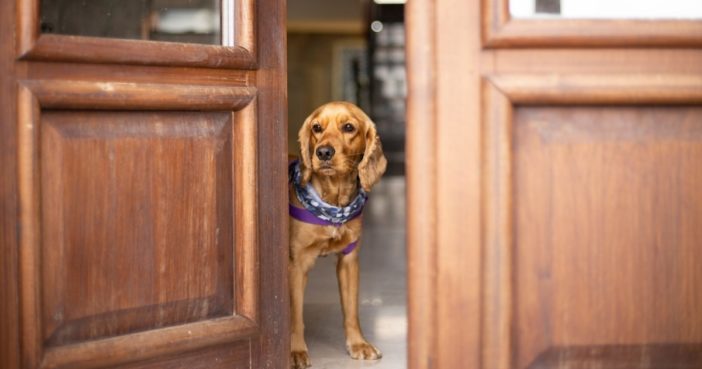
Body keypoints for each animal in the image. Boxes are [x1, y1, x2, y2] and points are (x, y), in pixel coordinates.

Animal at [292, 100, 390, 368]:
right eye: (316, 128)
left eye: (348, 127)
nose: (324, 152)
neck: (333, 203)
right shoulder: (296, 264)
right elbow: (295, 314)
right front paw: (295, 350)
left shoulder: (349, 260)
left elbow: (351, 310)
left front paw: (358, 344)